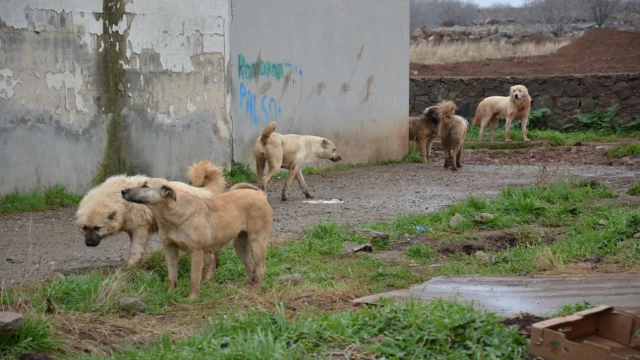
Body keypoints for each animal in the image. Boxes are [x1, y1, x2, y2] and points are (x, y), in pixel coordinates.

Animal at [121, 179, 272, 300]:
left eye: (145, 186)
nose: (122, 191)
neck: (171, 216)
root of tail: (260, 194)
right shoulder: (170, 250)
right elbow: (172, 276)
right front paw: (170, 294)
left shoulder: (197, 252)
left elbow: (194, 280)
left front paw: (192, 298)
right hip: (241, 245)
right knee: (250, 267)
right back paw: (248, 290)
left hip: (257, 243)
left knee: (260, 269)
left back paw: (255, 292)